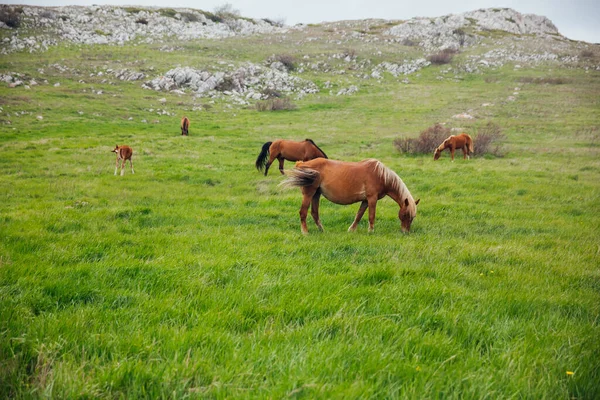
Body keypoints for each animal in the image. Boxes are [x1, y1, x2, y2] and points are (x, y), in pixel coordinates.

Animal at [280, 157, 418, 234]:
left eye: (413, 217)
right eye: (405, 215)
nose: (405, 232)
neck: (381, 175)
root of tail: (302, 164)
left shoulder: (365, 200)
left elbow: (359, 215)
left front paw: (351, 230)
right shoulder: (372, 199)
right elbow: (371, 216)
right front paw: (371, 231)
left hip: (316, 194)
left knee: (314, 213)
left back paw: (322, 230)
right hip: (309, 193)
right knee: (303, 212)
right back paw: (305, 232)